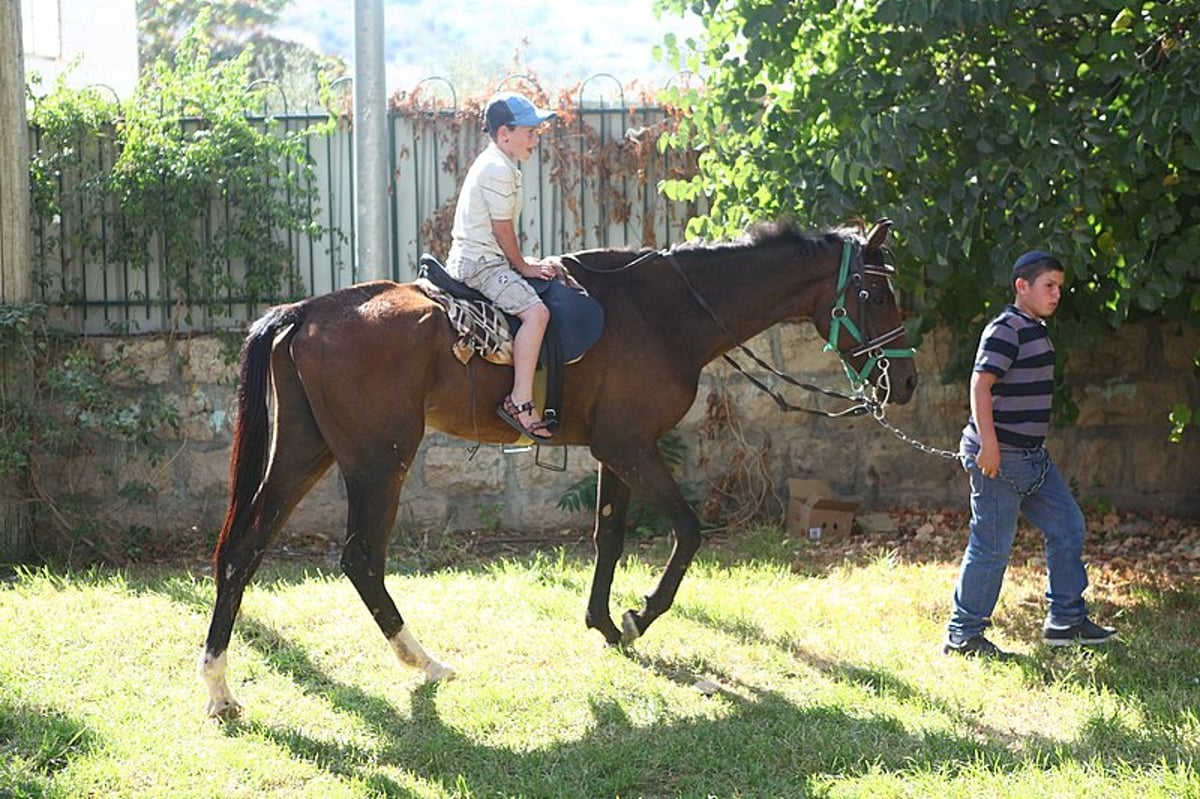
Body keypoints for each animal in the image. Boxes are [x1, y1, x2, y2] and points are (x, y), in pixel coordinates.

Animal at [199, 215, 916, 715]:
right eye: (877, 296)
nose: (905, 382)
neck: (666, 310)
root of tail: (306, 312)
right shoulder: (631, 446)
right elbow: (687, 531)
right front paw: (641, 613)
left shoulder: (616, 450)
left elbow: (609, 534)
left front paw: (604, 621)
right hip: (379, 461)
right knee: (359, 559)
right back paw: (422, 661)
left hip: (305, 452)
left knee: (243, 549)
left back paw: (219, 686)